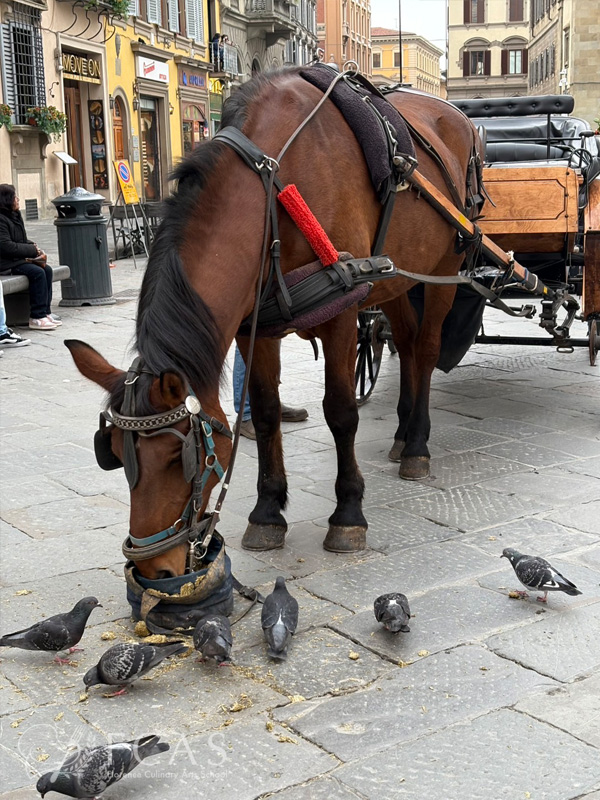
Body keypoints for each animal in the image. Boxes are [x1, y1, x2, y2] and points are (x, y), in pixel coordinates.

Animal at [66, 67, 482, 580]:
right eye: (115, 453)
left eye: (179, 458)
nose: (155, 569)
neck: (274, 188)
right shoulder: (255, 329)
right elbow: (264, 415)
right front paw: (267, 512)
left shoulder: (343, 312)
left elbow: (341, 413)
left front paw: (348, 513)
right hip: (398, 275)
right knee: (404, 344)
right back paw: (404, 432)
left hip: (447, 265)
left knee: (424, 350)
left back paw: (418, 446)